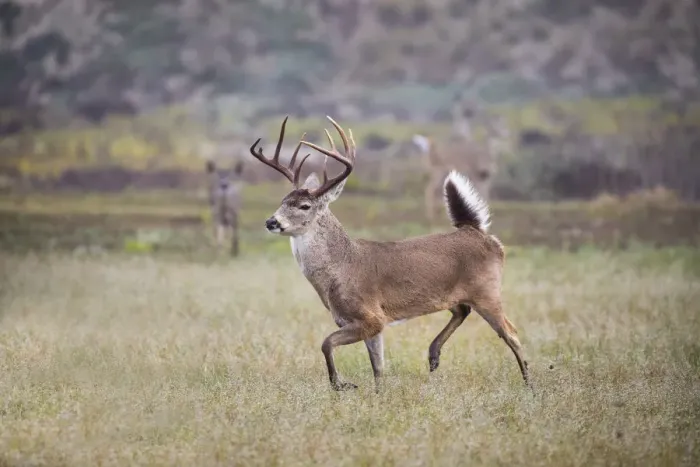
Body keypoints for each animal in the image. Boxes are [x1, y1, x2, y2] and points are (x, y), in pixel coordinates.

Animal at [249, 116, 529, 392]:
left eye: (304, 206)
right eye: (282, 201)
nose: (271, 221)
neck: (341, 268)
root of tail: (480, 233)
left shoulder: (372, 317)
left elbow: (326, 343)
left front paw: (341, 384)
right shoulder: (365, 324)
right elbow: (378, 368)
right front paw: (376, 395)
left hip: (487, 290)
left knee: (512, 333)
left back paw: (529, 385)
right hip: (458, 295)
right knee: (462, 311)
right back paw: (433, 355)